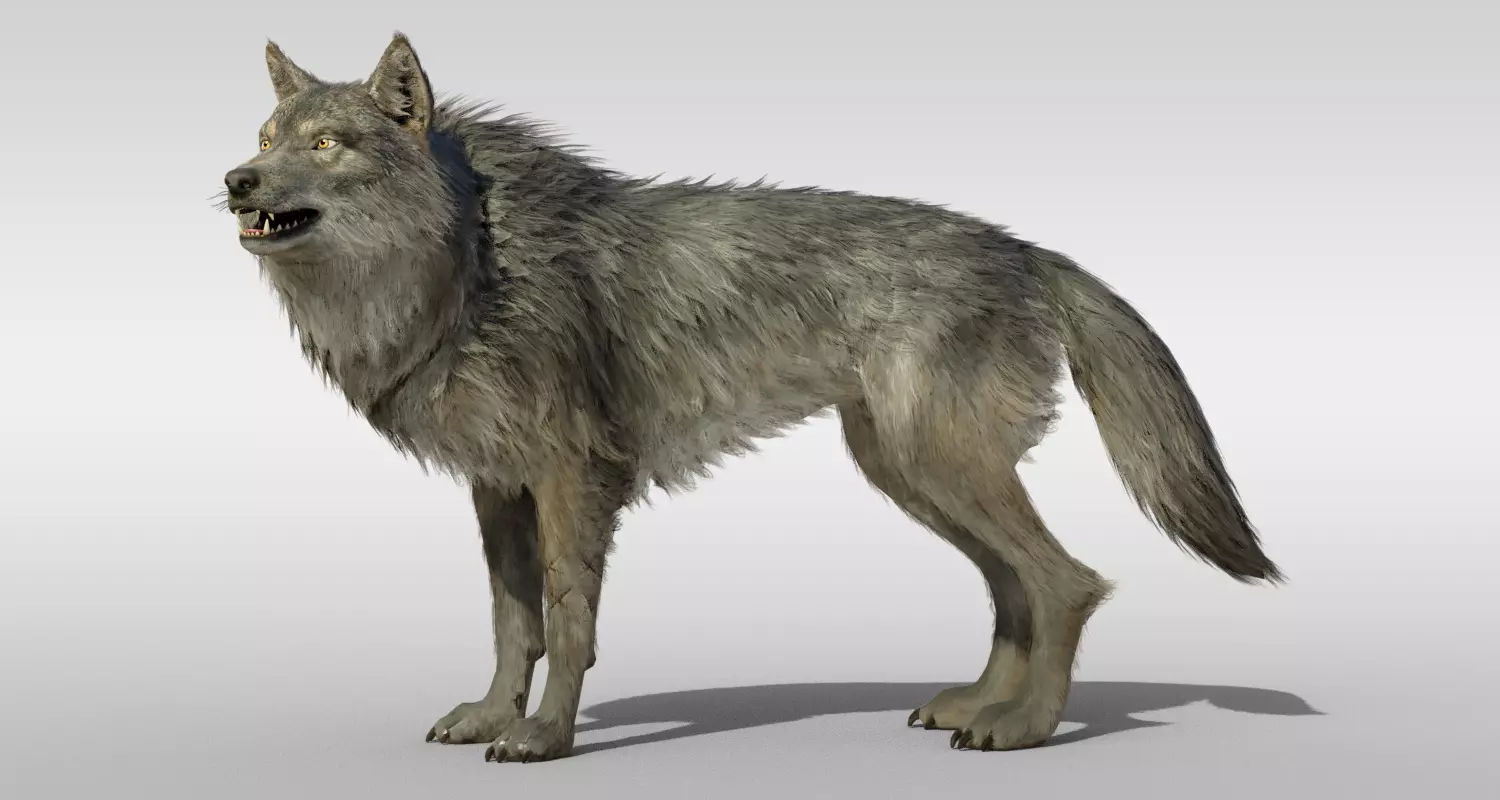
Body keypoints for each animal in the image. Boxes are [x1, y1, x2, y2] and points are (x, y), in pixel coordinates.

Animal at [219, 33, 1281, 762]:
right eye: (267, 137)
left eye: (328, 142)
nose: (235, 181)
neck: (469, 260)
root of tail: (1028, 250)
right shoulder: (498, 487)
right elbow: (511, 621)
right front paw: (490, 716)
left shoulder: (573, 479)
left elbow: (566, 619)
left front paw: (547, 739)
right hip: (910, 473)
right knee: (1014, 587)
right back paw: (981, 708)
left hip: (940, 469)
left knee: (1067, 582)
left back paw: (1024, 732)